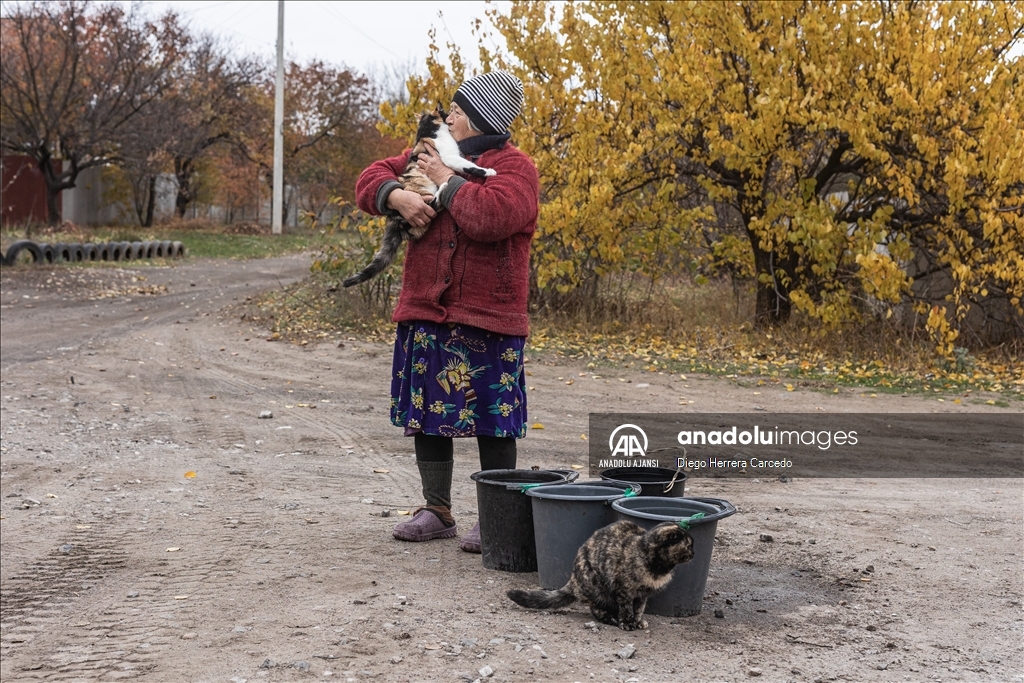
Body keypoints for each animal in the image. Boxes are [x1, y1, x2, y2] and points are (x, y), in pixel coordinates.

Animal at [344, 105, 495, 286]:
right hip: (424, 194)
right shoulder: (449, 157)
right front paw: (488, 171)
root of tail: (395, 221)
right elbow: (468, 165)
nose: (449, 116)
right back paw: (444, 187)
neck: (427, 130)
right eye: (447, 111)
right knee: (433, 204)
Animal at [505, 524, 696, 630]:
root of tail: (573, 579)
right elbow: (627, 609)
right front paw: (627, 623)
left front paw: (638, 621)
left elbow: (639, 609)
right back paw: (611, 618)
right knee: (595, 609)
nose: (694, 554)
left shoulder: (643, 594)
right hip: (598, 587)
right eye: (689, 545)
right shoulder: (624, 590)